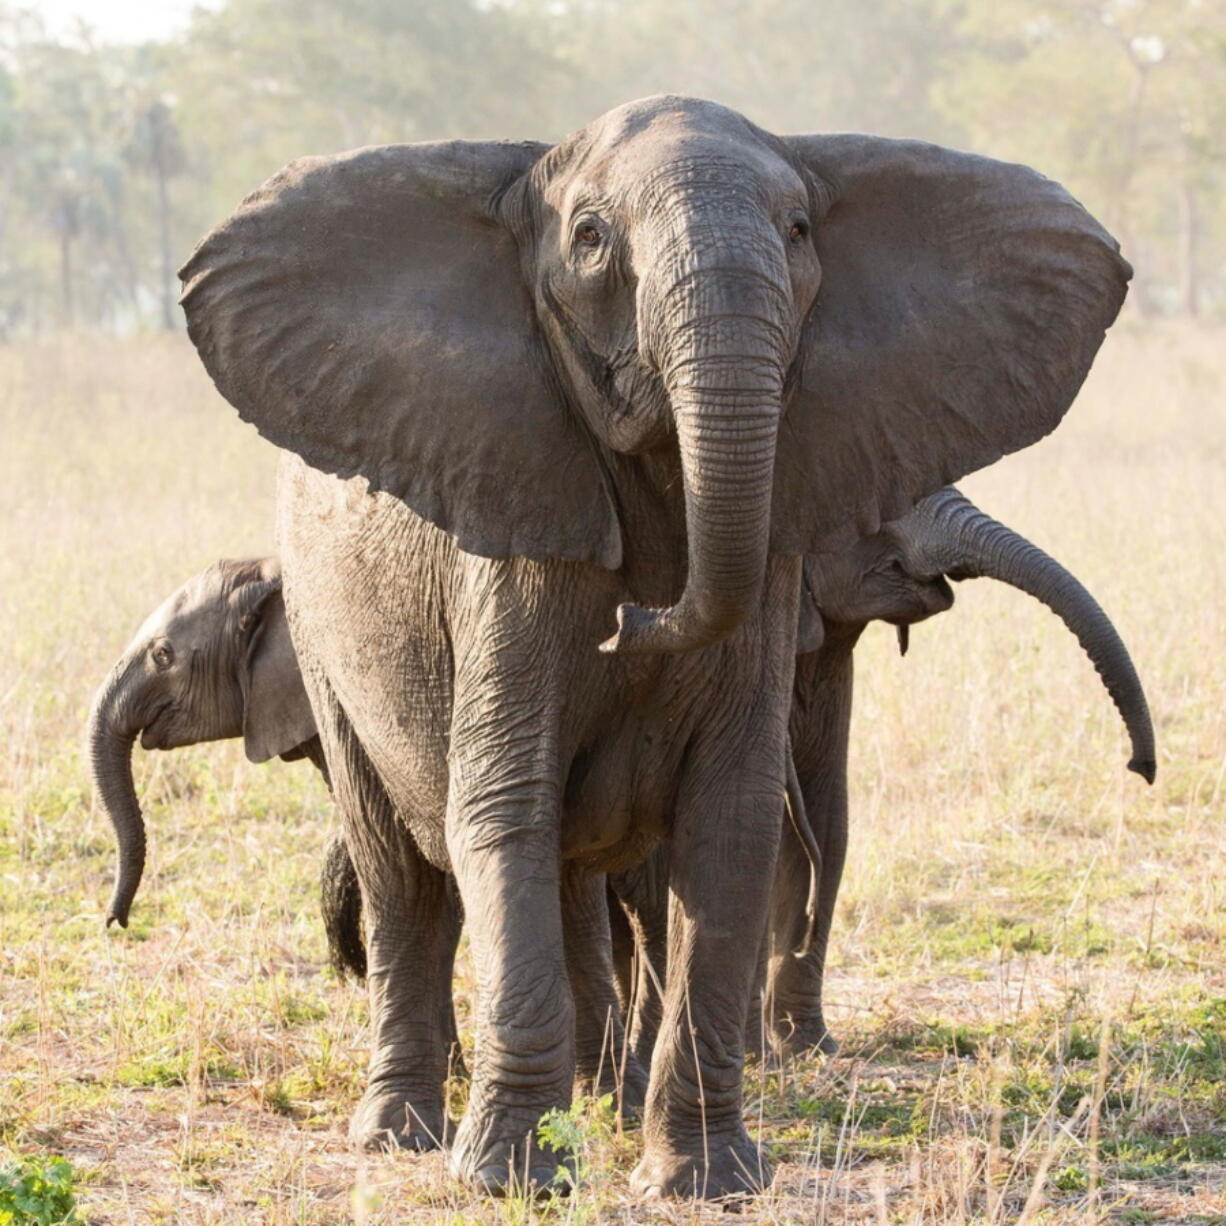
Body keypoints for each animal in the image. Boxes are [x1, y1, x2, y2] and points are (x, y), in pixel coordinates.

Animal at [177, 98, 1132, 1196]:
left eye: (798, 231)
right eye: (590, 239)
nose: (633, 619)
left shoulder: (772, 575)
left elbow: (733, 826)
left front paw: (703, 1181)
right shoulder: (507, 554)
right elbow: (502, 806)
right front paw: (508, 1179)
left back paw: (594, 1096)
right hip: (322, 639)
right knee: (400, 876)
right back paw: (401, 1132)